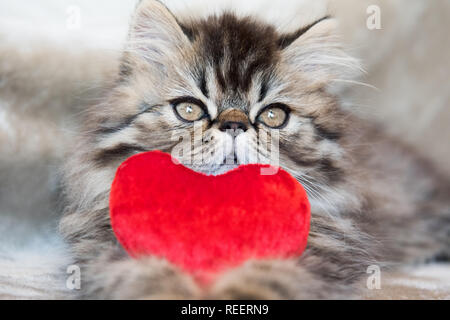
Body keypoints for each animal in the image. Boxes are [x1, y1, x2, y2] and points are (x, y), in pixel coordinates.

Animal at [58, 0, 448, 300]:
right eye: (190, 109)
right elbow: (149, 281)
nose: (234, 125)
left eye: (274, 116)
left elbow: (258, 283)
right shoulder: (113, 243)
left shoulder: (316, 246)